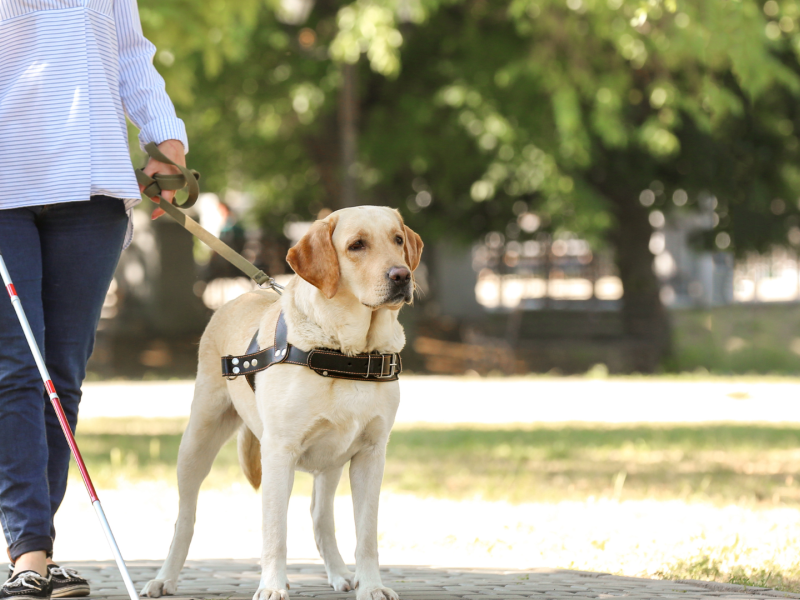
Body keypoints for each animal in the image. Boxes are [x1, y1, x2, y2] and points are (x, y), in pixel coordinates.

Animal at [141, 206, 422, 600]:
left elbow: (366, 535)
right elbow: (275, 532)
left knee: (320, 517)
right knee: (185, 518)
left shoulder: (371, 453)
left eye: (397, 239)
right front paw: (272, 586)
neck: (345, 354)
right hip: (197, 441)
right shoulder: (279, 451)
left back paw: (339, 574)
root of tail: (240, 296)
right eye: (357, 245)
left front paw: (371, 586)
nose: (402, 275)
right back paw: (164, 577)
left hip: (332, 461)